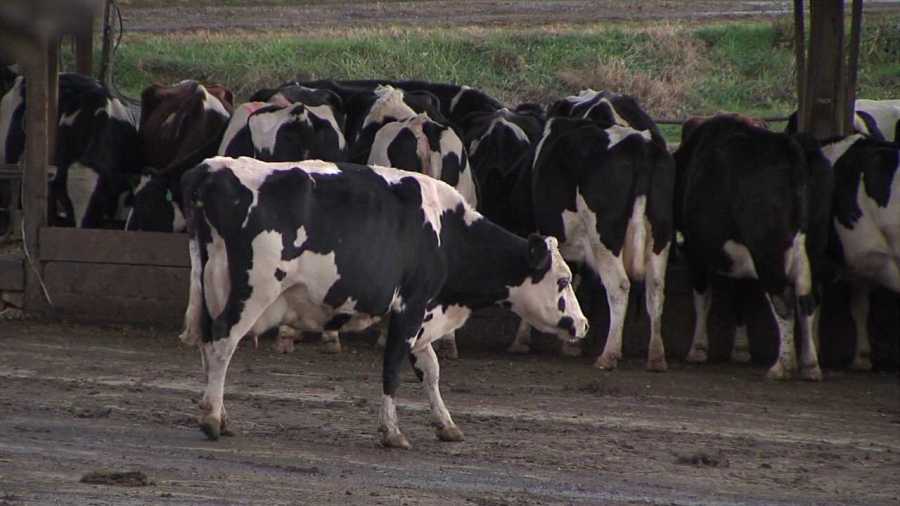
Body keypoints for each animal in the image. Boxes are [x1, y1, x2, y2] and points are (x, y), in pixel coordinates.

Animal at [179, 156, 589, 449]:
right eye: (563, 280)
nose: (583, 324)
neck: (444, 232)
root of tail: (212, 168)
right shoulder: (410, 306)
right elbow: (392, 368)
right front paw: (391, 432)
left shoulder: (423, 314)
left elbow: (430, 369)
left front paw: (446, 424)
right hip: (253, 290)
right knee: (223, 342)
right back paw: (212, 419)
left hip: (214, 287)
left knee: (208, 345)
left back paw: (217, 414)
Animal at [674, 114, 833, 381]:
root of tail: (790, 145)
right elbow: (741, 296)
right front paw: (740, 350)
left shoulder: (696, 249)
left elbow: (703, 298)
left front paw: (698, 348)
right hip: (814, 250)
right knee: (809, 300)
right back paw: (809, 363)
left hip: (768, 253)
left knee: (785, 302)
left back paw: (782, 365)